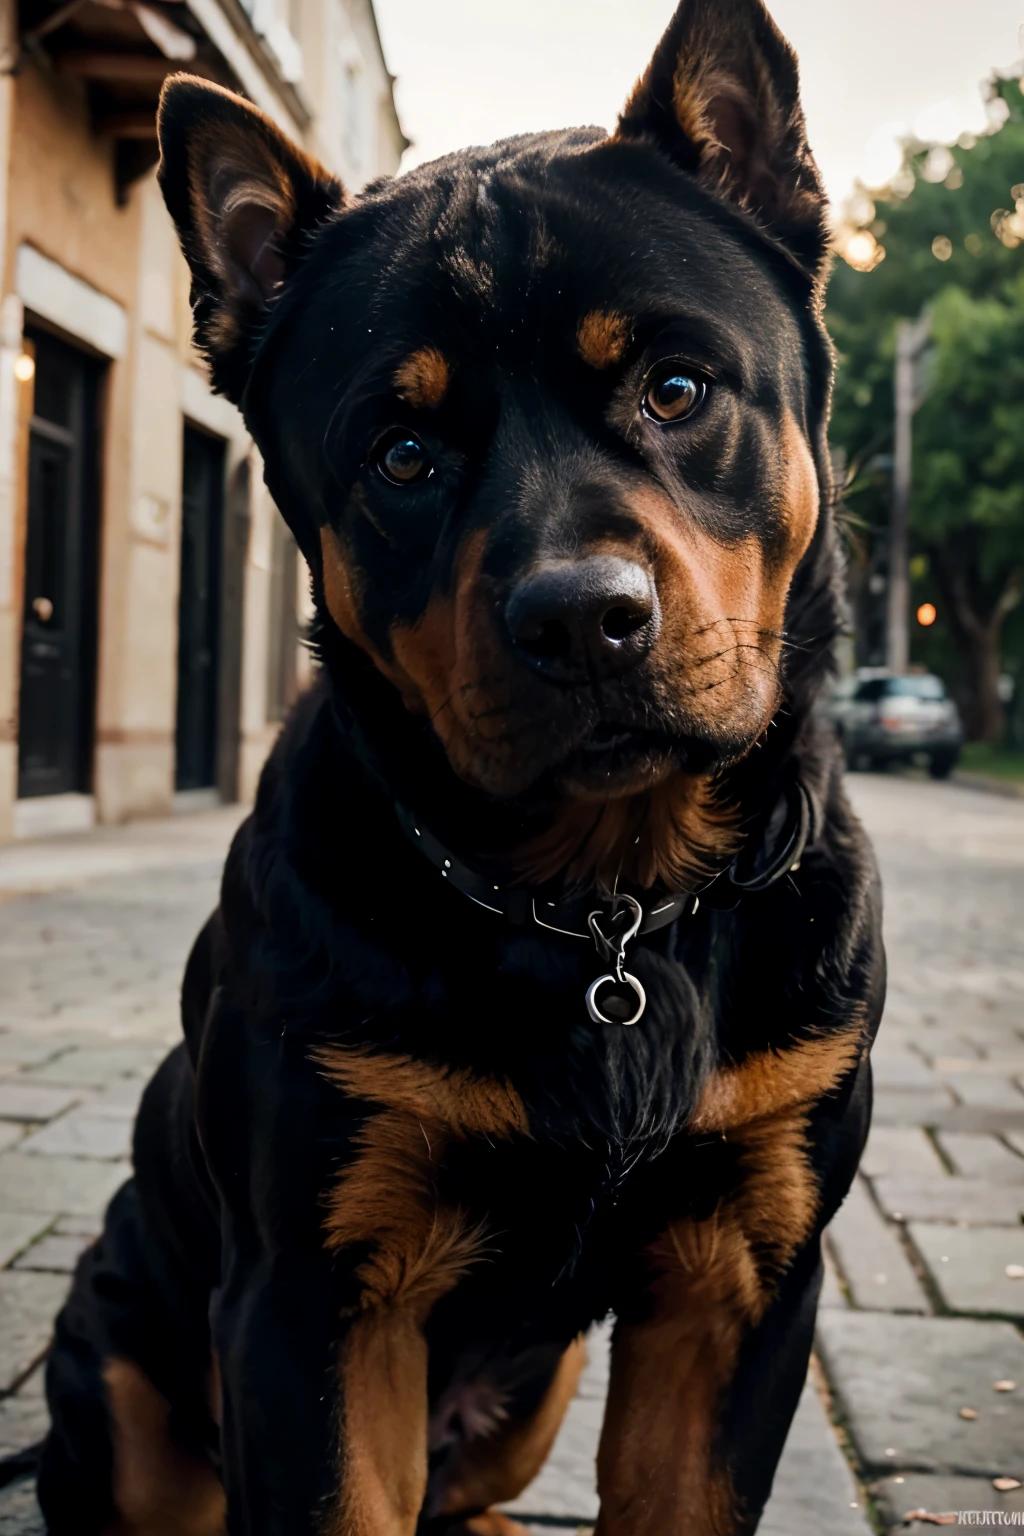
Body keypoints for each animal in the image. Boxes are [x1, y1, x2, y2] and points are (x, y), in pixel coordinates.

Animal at [36, 0, 884, 1529]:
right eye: (402, 452)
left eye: (677, 388)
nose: (582, 616)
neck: (606, 906)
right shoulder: (310, 1298)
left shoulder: (741, 1288)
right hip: (120, 1361)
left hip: (536, 1390)